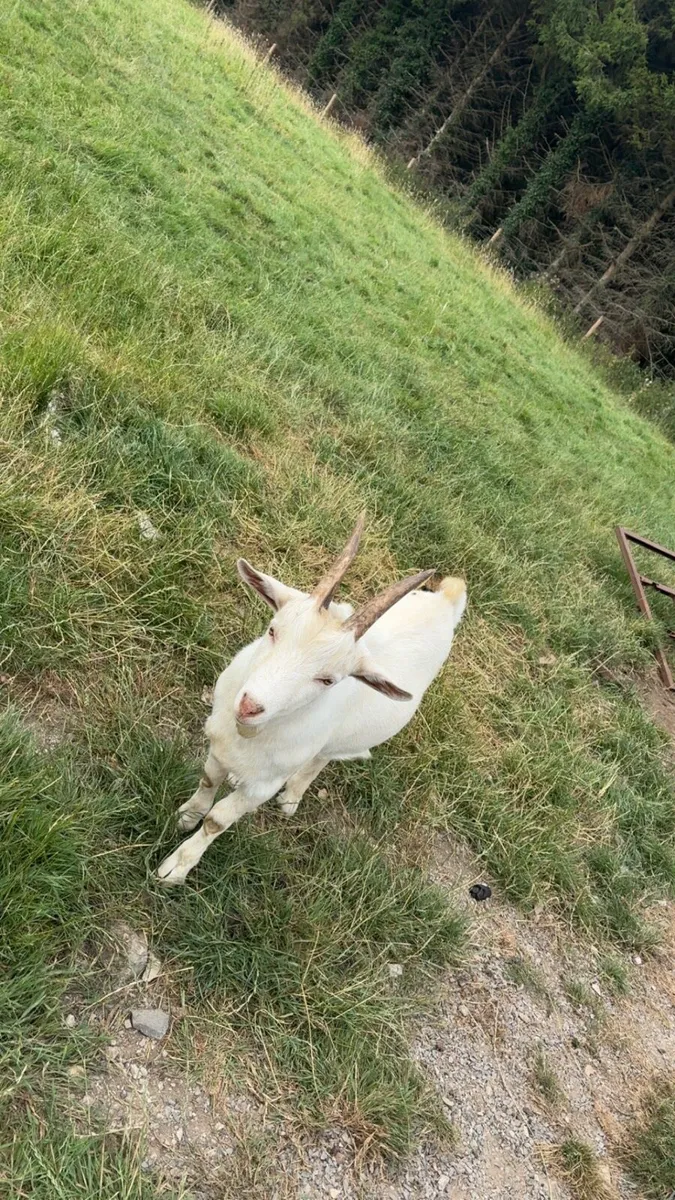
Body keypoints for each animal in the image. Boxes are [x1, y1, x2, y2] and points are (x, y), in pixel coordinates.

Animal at [157, 515, 466, 884]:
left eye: (328, 679)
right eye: (273, 630)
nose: (250, 706)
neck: (249, 736)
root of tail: (447, 599)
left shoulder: (262, 786)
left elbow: (218, 821)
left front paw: (177, 867)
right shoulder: (219, 746)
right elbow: (207, 780)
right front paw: (186, 815)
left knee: (323, 757)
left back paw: (292, 797)